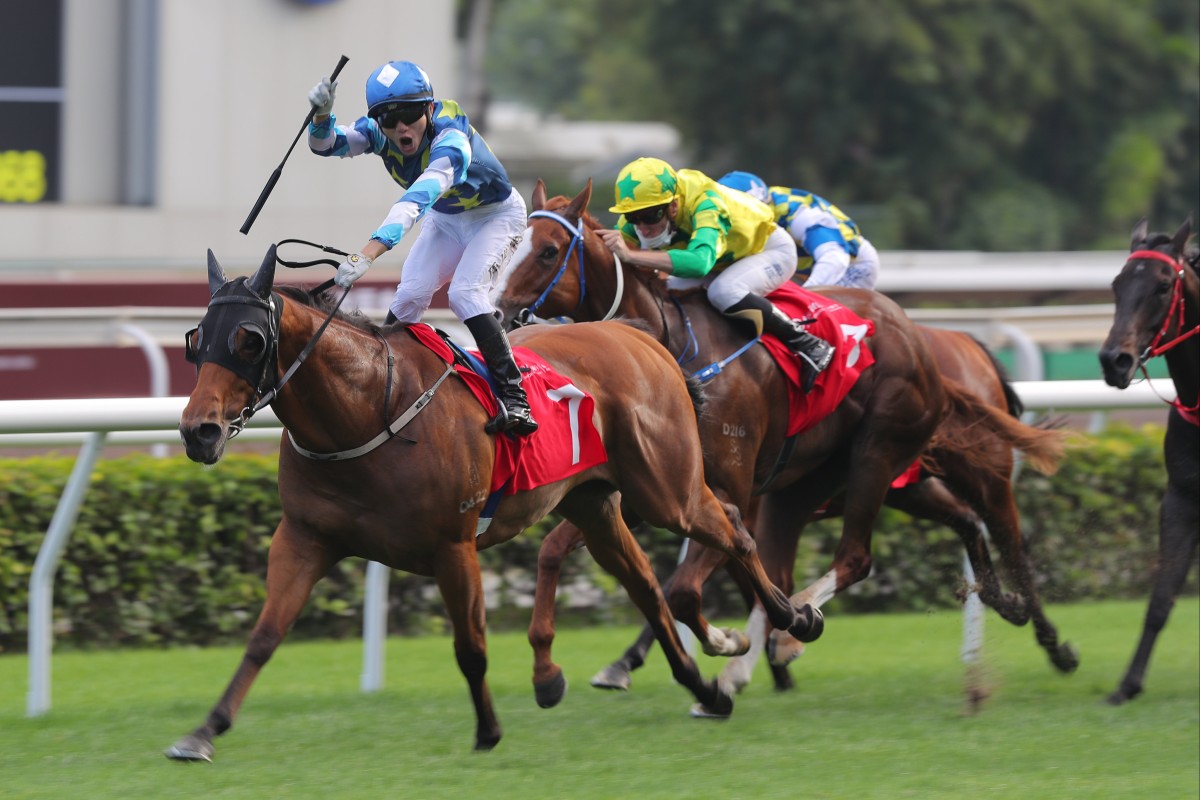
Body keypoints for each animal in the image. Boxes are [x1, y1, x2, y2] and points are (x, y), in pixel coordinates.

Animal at [166, 247, 806, 762]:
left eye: (249, 339)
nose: (199, 431)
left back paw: (792, 619)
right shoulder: (305, 536)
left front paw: (488, 731)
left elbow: (470, 647)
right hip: (595, 504)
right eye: (197, 339)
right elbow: (264, 637)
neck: (370, 407)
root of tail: (639, 336)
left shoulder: (453, 546)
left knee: (732, 529)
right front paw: (203, 732)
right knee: (647, 587)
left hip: (668, 490)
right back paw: (706, 689)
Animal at [492, 181, 1075, 705]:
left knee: (921, 548)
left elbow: (689, 585)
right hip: (856, 482)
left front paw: (745, 645)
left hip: (896, 456)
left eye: (547, 250)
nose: (497, 315)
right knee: (962, 524)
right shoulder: (654, 495)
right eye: (511, 245)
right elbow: (555, 550)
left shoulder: (728, 491)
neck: (676, 349)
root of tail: (927, 342)